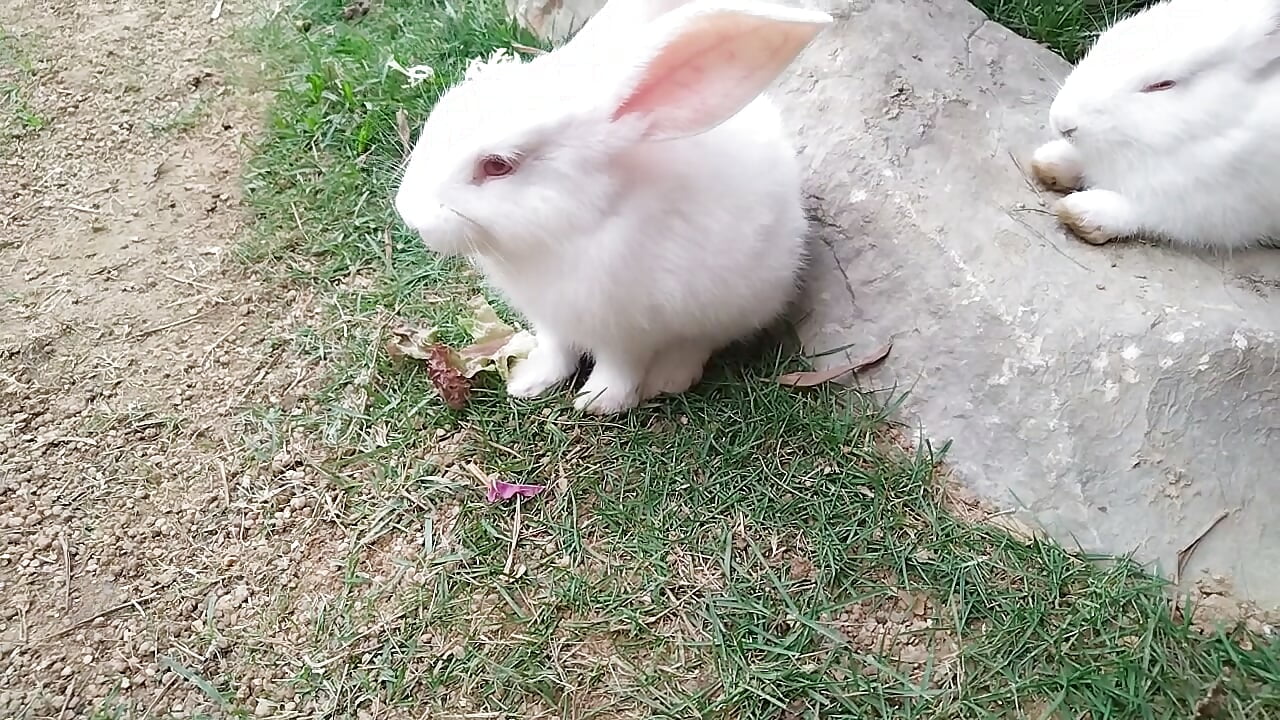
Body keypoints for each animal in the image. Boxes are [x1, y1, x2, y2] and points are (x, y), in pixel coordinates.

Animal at [393, 0, 832, 414]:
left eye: (497, 165)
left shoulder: (629, 331)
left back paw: (669, 377)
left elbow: (619, 367)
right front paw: (528, 382)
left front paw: (599, 402)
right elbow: (556, 352)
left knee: (701, 341)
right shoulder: (552, 321)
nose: (409, 214)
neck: (567, 232)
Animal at [1030, 0, 1280, 250]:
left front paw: (1081, 213)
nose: (1063, 123)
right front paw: (1048, 161)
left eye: (1163, 84)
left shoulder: (1218, 203)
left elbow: (1154, 212)